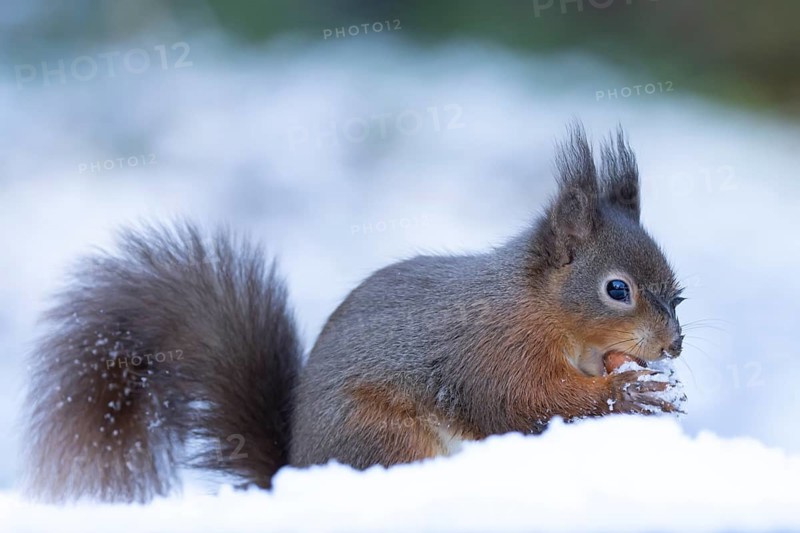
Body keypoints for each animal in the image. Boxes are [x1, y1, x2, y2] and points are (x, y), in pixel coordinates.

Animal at [22, 124, 685, 503]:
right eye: (617, 289)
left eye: (678, 295)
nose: (673, 346)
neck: (538, 309)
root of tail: (293, 475)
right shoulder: (491, 352)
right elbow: (525, 404)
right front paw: (629, 395)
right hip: (383, 436)